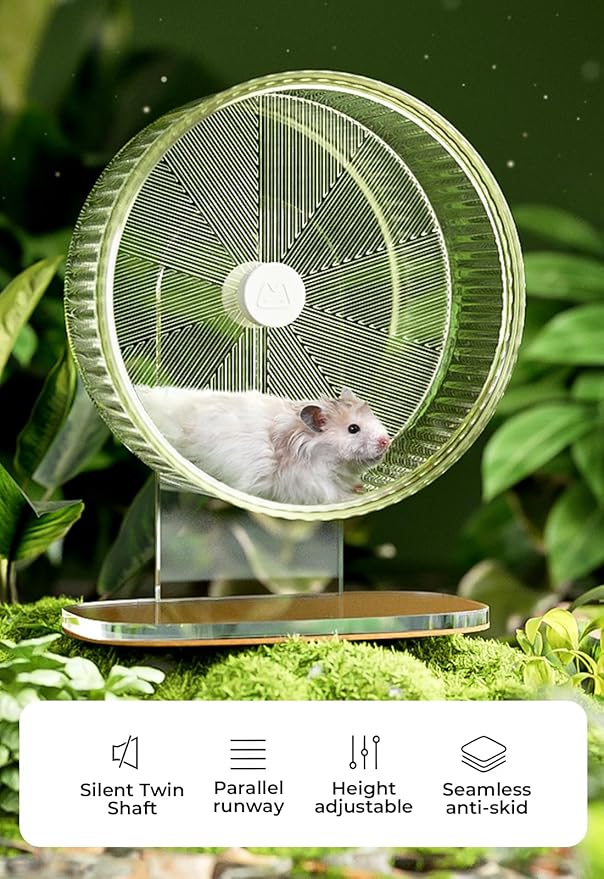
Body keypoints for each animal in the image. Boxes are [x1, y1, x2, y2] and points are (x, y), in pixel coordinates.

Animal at [135, 385, 390, 504]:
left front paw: (359, 488)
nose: (386, 441)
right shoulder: (310, 485)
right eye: (353, 429)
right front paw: (353, 498)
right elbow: (332, 495)